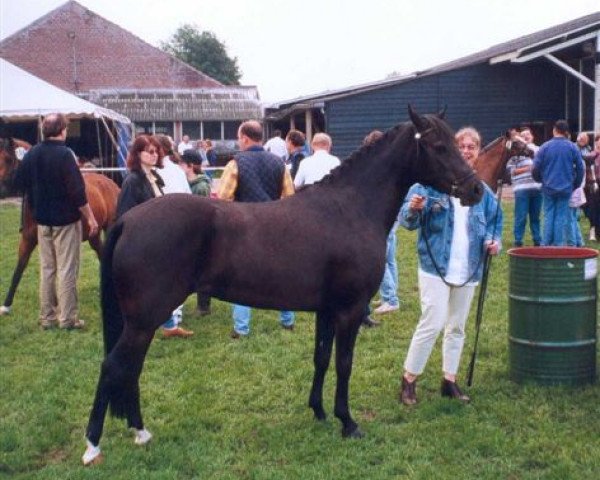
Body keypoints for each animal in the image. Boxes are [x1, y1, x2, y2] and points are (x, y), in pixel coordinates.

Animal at [0, 138, 120, 316]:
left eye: (8, 159)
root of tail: (111, 183)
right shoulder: (28, 240)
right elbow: (19, 269)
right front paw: (6, 306)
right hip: (94, 235)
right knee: (101, 252)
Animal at [81, 108, 482, 464]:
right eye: (439, 146)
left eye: (455, 142)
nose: (476, 189)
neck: (350, 209)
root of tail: (129, 220)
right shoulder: (349, 311)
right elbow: (344, 363)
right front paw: (348, 422)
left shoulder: (326, 310)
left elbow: (321, 358)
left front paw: (318, 411)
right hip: (144, 320)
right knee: (113, 367)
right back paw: (93, 447)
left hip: (141, 322)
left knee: (130, 369)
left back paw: (140, 432)